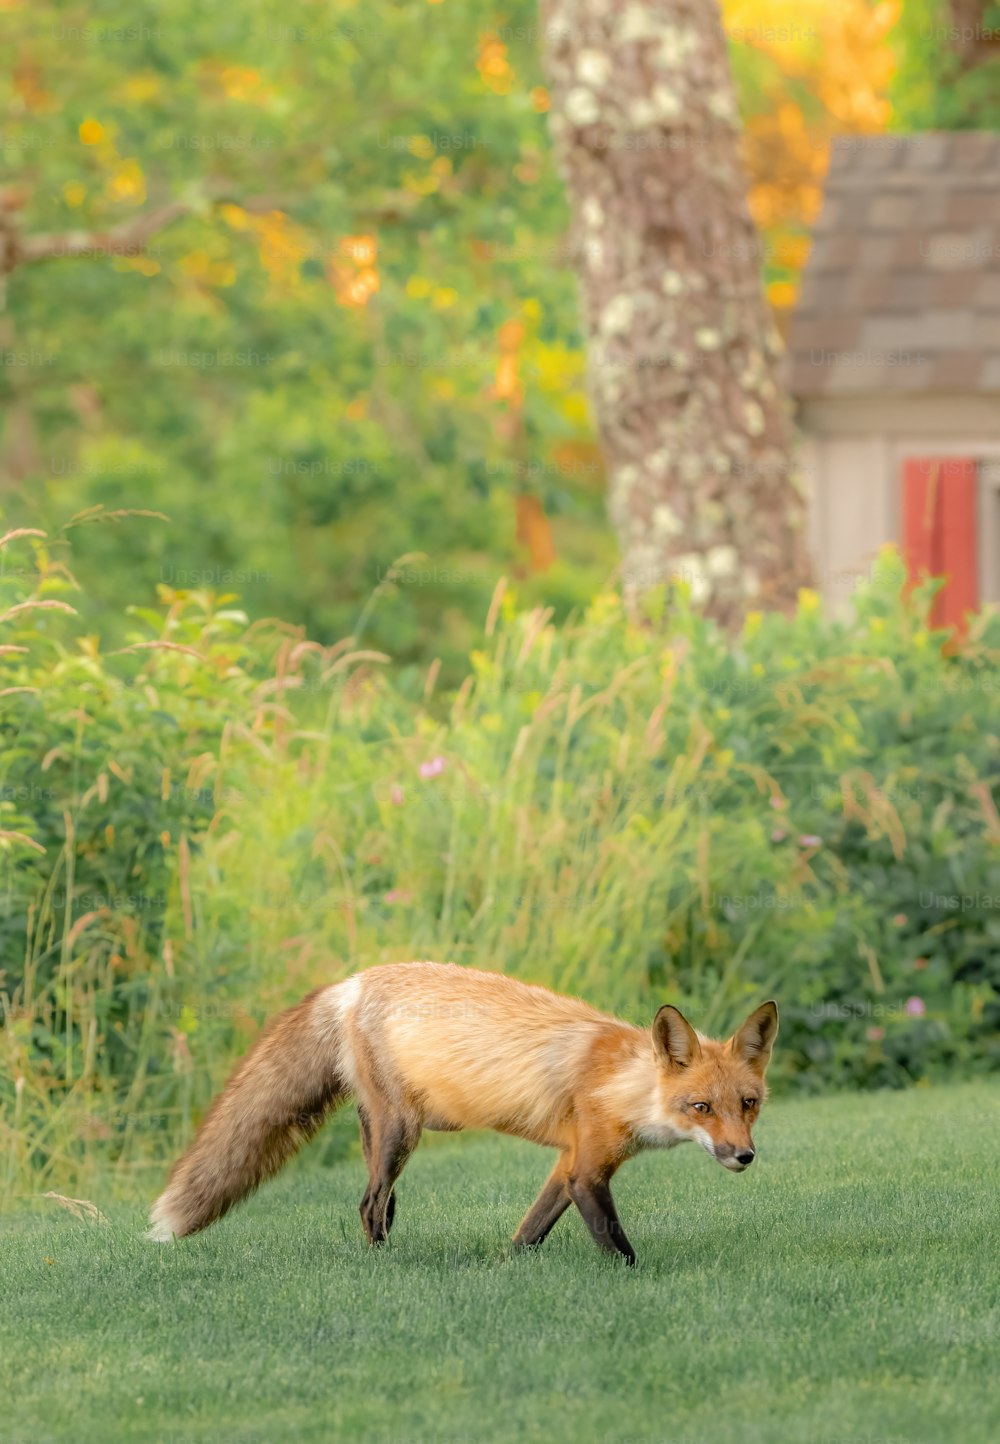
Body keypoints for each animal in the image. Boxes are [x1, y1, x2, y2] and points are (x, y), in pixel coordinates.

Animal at [147, 958, 773, 1264]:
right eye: (700, 1107)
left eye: (748, 1104)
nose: (744, 1155)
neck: (622, 1082)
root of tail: (351, 982)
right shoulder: (588, 1169)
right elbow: (618, 1248)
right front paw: (638, 1280)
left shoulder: (567, 1164)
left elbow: (529, 1233)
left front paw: (506, 1269)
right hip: (403, 1132)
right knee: (369, 1205)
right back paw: (382, 1269)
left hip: (381, 1130)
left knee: (377, 1203)